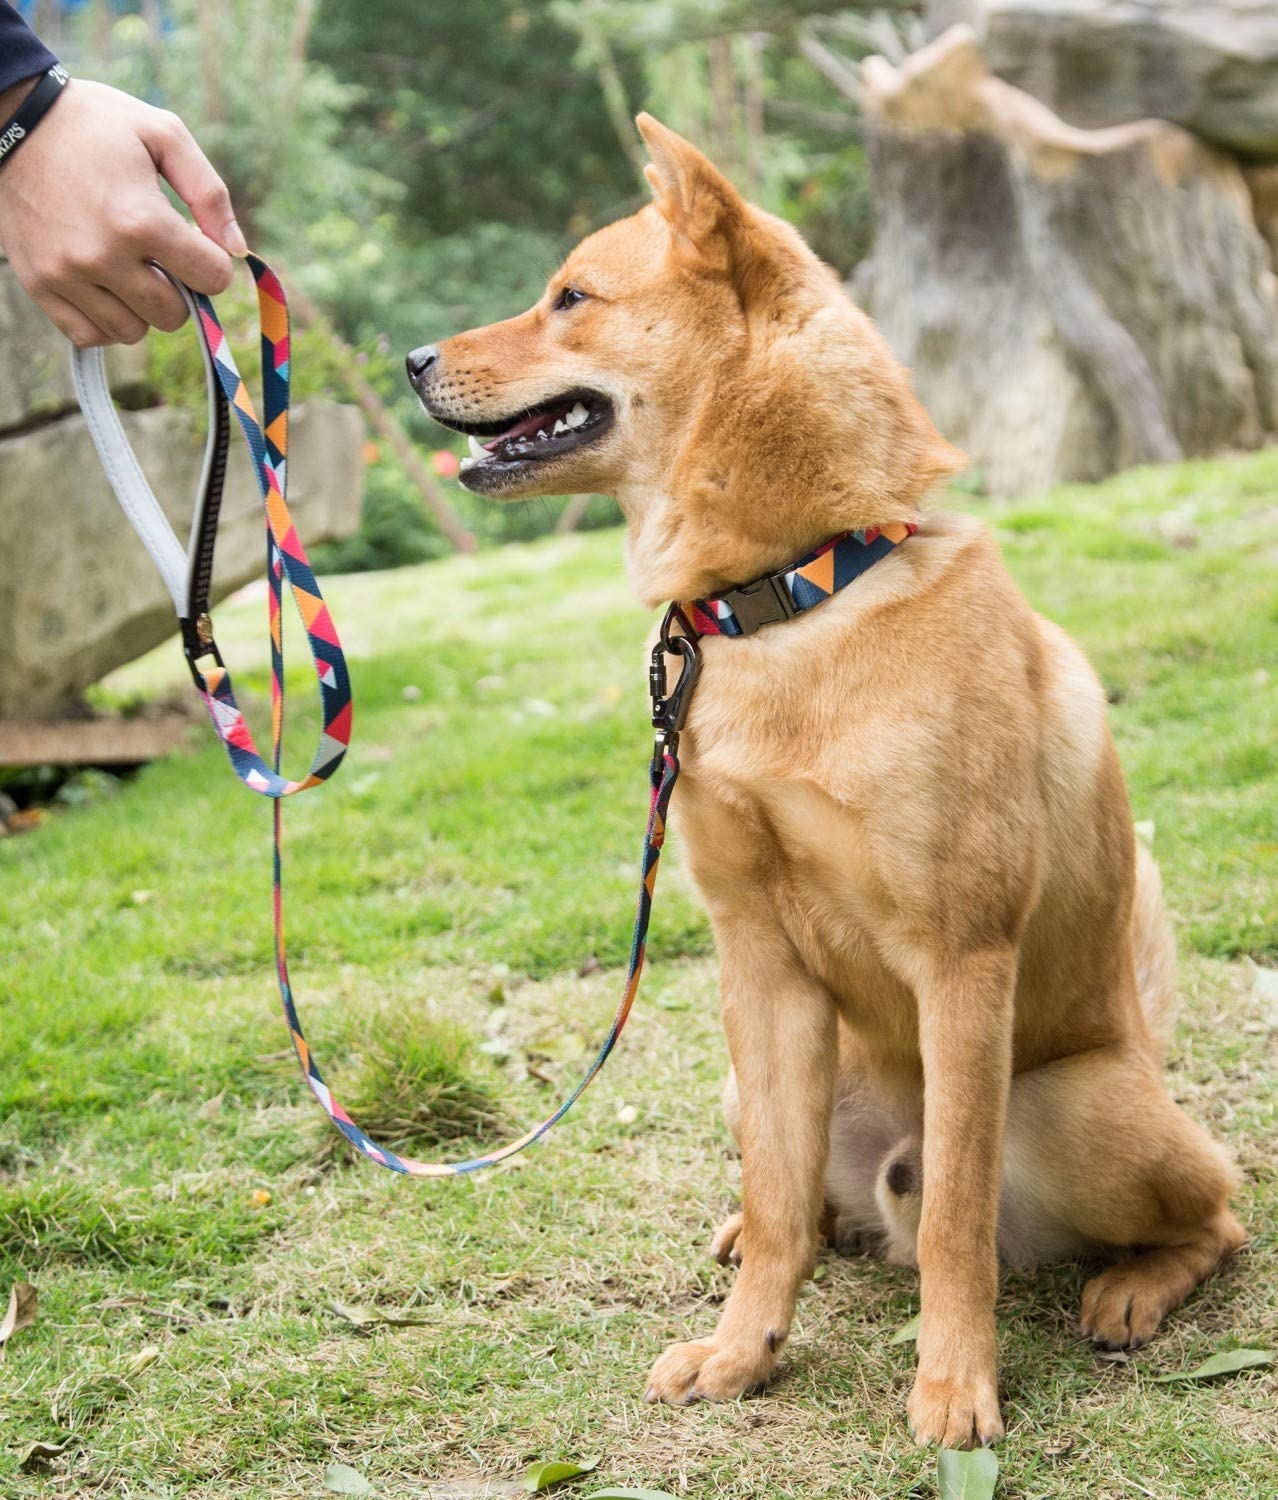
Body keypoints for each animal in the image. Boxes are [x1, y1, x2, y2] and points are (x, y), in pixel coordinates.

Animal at [405, 111, 1242, 1446]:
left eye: (570, 297)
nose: (411, 358)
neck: (796, 595)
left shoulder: (963, 962)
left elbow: (954, 1219)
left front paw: (954, 1383)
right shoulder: (756, 961)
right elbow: (779, 1202)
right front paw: (744, 1348)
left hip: (1072, 1110)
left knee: (1207, 1211)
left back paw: (1129, 1288)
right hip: (760, 1080)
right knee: (802, 1201)